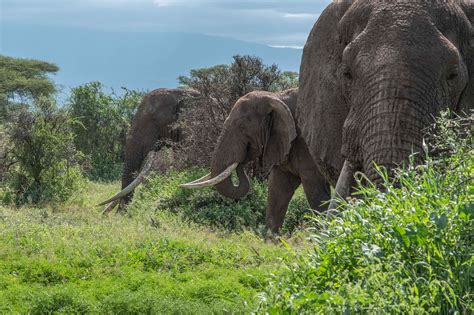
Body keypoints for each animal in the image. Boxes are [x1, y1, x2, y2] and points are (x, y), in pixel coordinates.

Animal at [181, 88, 330, 232]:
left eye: (242, 127)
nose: (241, 161)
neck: (276, 96)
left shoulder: (308, 143)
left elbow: (316, 192)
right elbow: (277, 190)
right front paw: (271, 238)